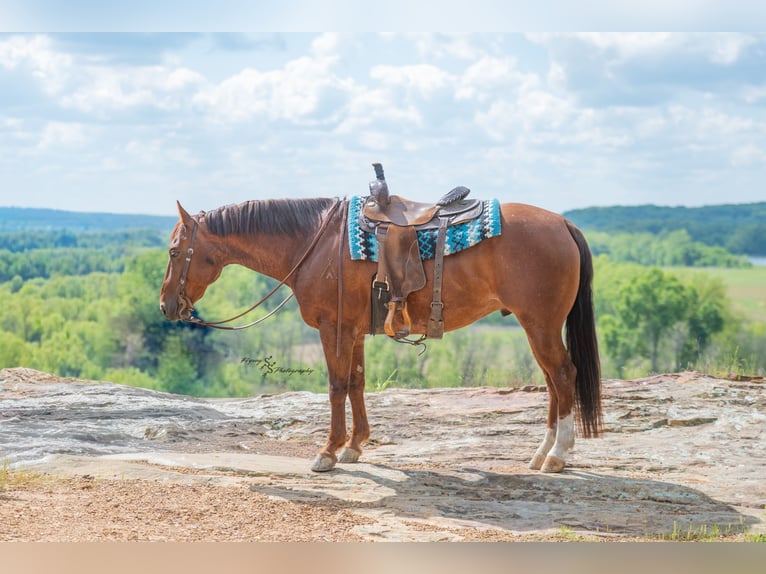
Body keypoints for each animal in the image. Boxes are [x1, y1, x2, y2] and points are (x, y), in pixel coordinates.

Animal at [159, 195, 602, 473]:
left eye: (174, 252)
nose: (166, 305)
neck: (316, 243)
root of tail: (564, 223)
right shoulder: (354, 331)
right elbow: (357, 383)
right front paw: (355, 446)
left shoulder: (334, 328)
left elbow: (336, 386)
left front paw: (328, 451)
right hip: (537, 327)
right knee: (552, 381)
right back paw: (541, 452)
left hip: (540, 325)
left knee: (563, 375)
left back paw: (558, 454)